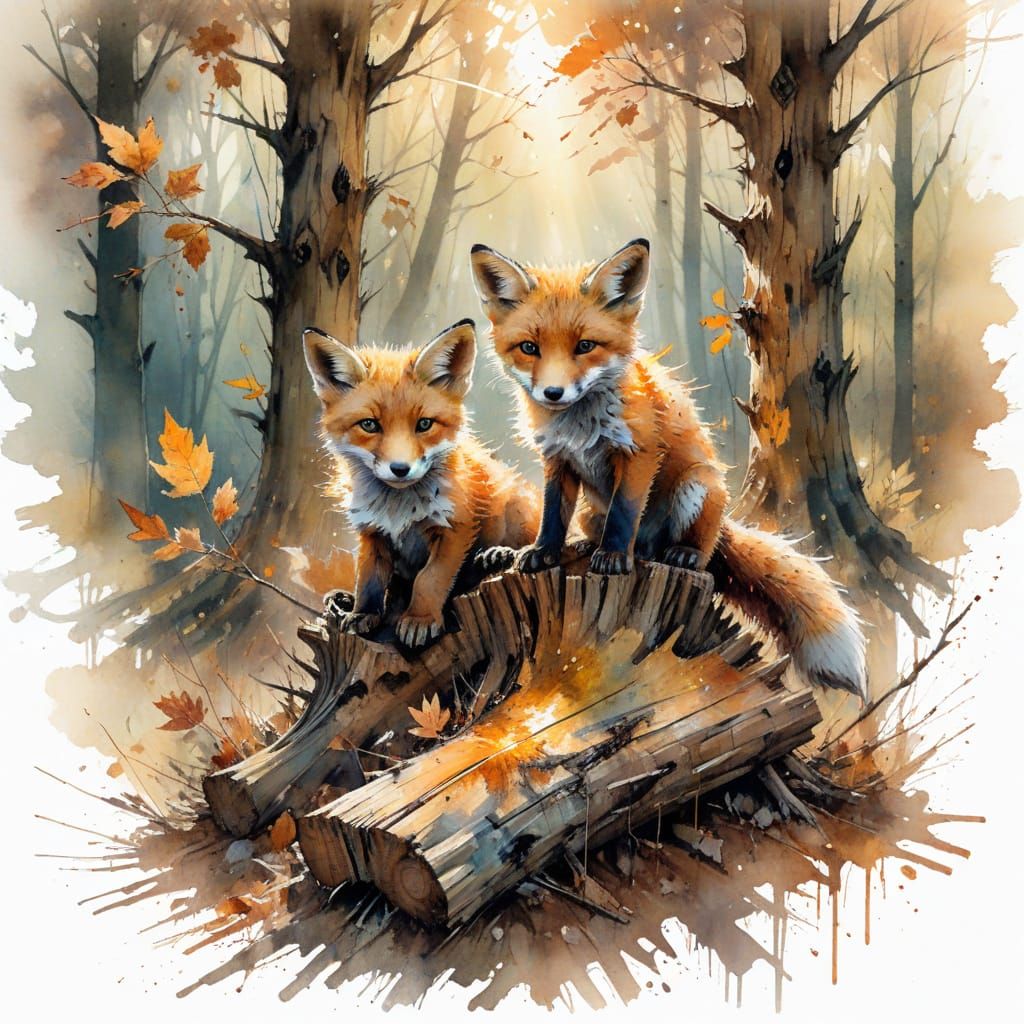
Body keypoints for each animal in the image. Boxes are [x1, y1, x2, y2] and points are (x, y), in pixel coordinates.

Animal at [302, 319, 539, 648]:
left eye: (424, 424)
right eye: (369, 425)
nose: (400, 469)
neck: (398, 508)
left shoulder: (455, 527)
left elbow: (430, 580)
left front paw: (420, 619)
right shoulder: (372, 532)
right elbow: (368, 578)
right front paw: (363, 613)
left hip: (517, 506)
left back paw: (497, 556)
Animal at [470, 238, 867, 698]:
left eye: (585, 346)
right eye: (529, 348)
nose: (553, 393)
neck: (579, 425)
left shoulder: (639, 453)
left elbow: (624, 514)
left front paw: (613, 557)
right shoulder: (558, 460)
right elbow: (552, 514)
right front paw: (542, 552)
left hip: (696, 487)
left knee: (692, 550)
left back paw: (676, 553)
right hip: (591, 510)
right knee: (608, 534)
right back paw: (582, 546)